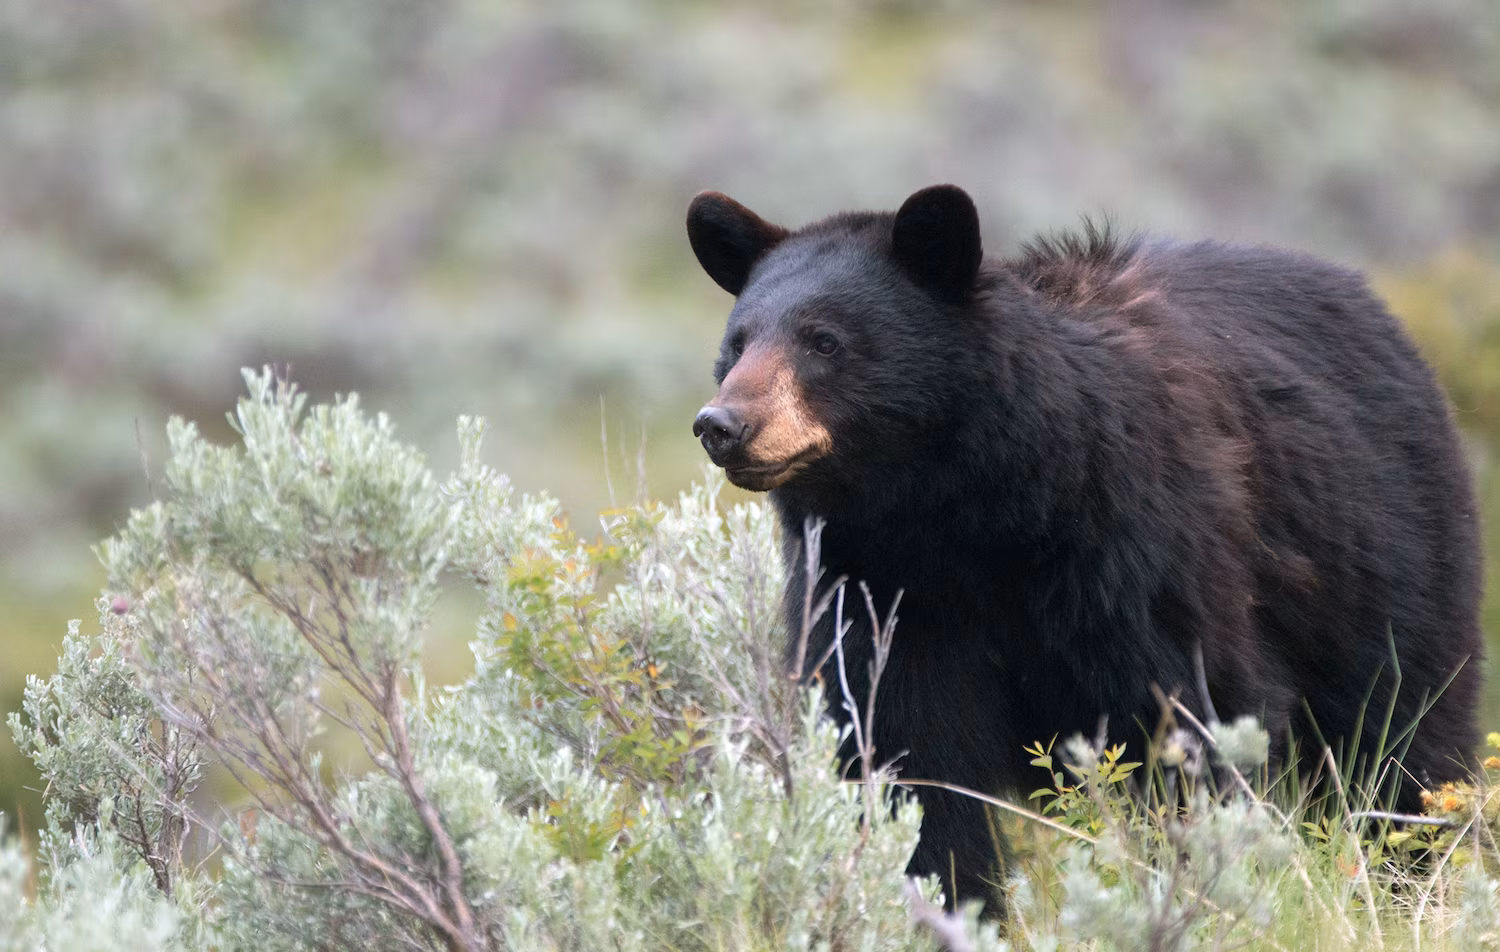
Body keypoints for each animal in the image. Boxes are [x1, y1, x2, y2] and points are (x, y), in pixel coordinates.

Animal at [686, 184, 1484, 914]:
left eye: (824, 340)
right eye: (737, 342)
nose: (723, 424)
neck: (963, 512)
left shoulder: (1138, 546)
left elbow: (1190, 713)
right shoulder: (877, 586)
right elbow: (906, 755)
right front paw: (947, 901)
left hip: (1388, 554)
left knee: (1403, 729)